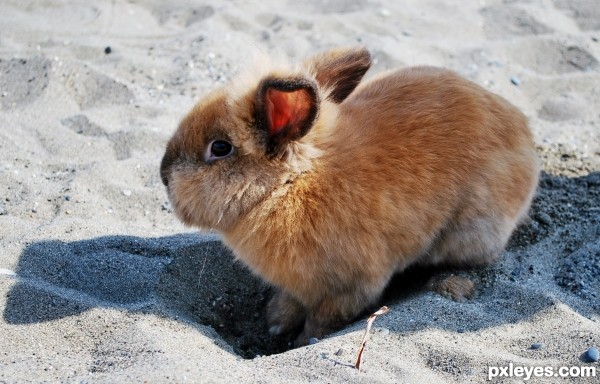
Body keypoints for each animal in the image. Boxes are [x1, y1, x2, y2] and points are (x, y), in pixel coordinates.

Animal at [159, 46, 540, 346]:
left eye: (220, 148)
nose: (162, 173)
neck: (291, 185)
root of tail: (523, 133)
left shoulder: (352, 288)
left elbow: (321, 322)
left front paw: (299, 341)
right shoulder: (296, 286)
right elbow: (289, 304)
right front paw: (275, 325)